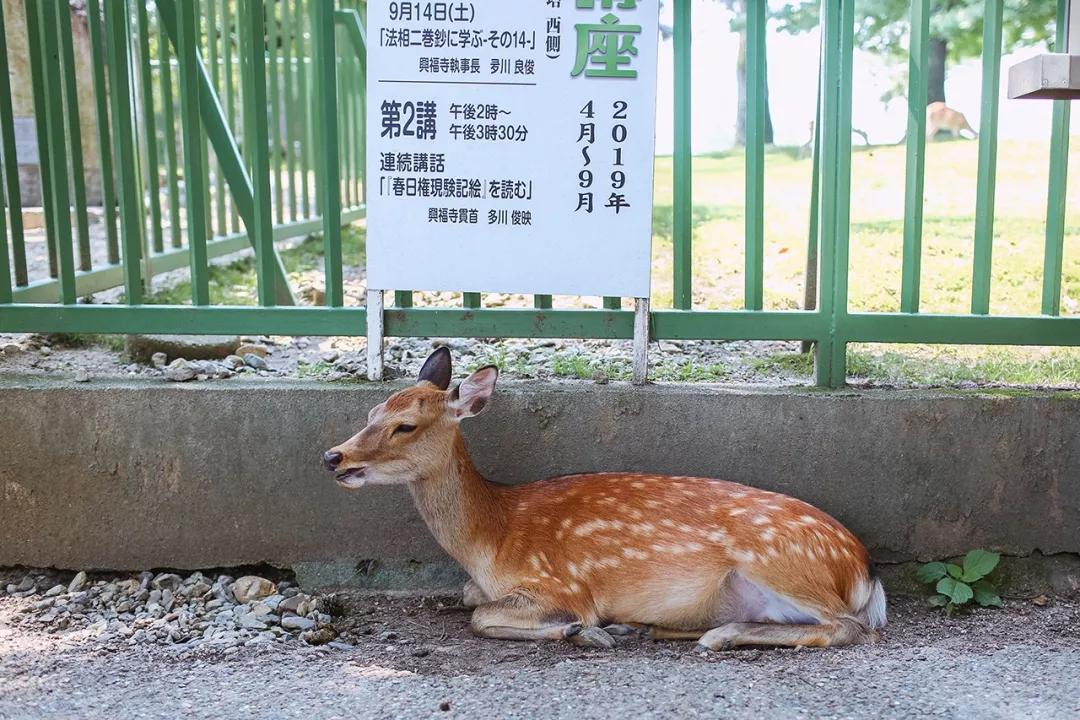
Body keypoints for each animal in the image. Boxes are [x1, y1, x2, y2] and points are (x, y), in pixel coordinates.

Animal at [319, 349, 885, 651]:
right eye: (371, 411)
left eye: (405, 425)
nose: (332, 457)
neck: (492, 537)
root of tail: (862, 567)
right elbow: (468, 597)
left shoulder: (562, 584)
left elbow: (484, 617)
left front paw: (581, 631)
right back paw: (664, 628)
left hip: (780, 562)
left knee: (848, 626)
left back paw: (708, 635)